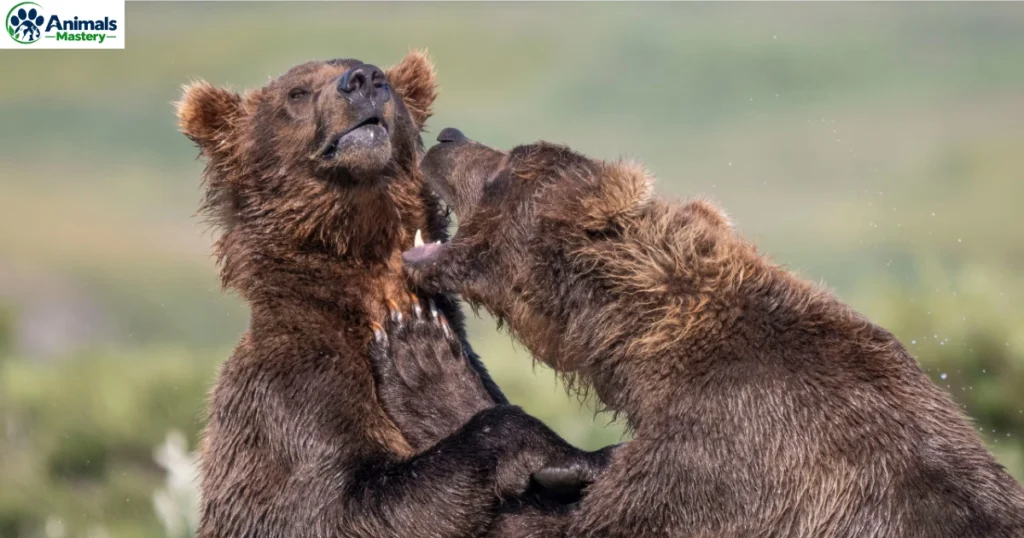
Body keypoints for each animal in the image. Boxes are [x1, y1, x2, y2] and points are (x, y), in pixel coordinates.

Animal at [175, 54, 604, 538]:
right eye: (297, 92)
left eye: (380, 76)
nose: (364, 80)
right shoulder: (290, 405)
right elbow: (338, 510)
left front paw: (585, 458)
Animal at [400, 127, 1024, 538]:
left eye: (510, 164)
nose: (449, 135)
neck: (648, 349)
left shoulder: (720, 460)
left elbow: (574, 527)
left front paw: (424, 359)